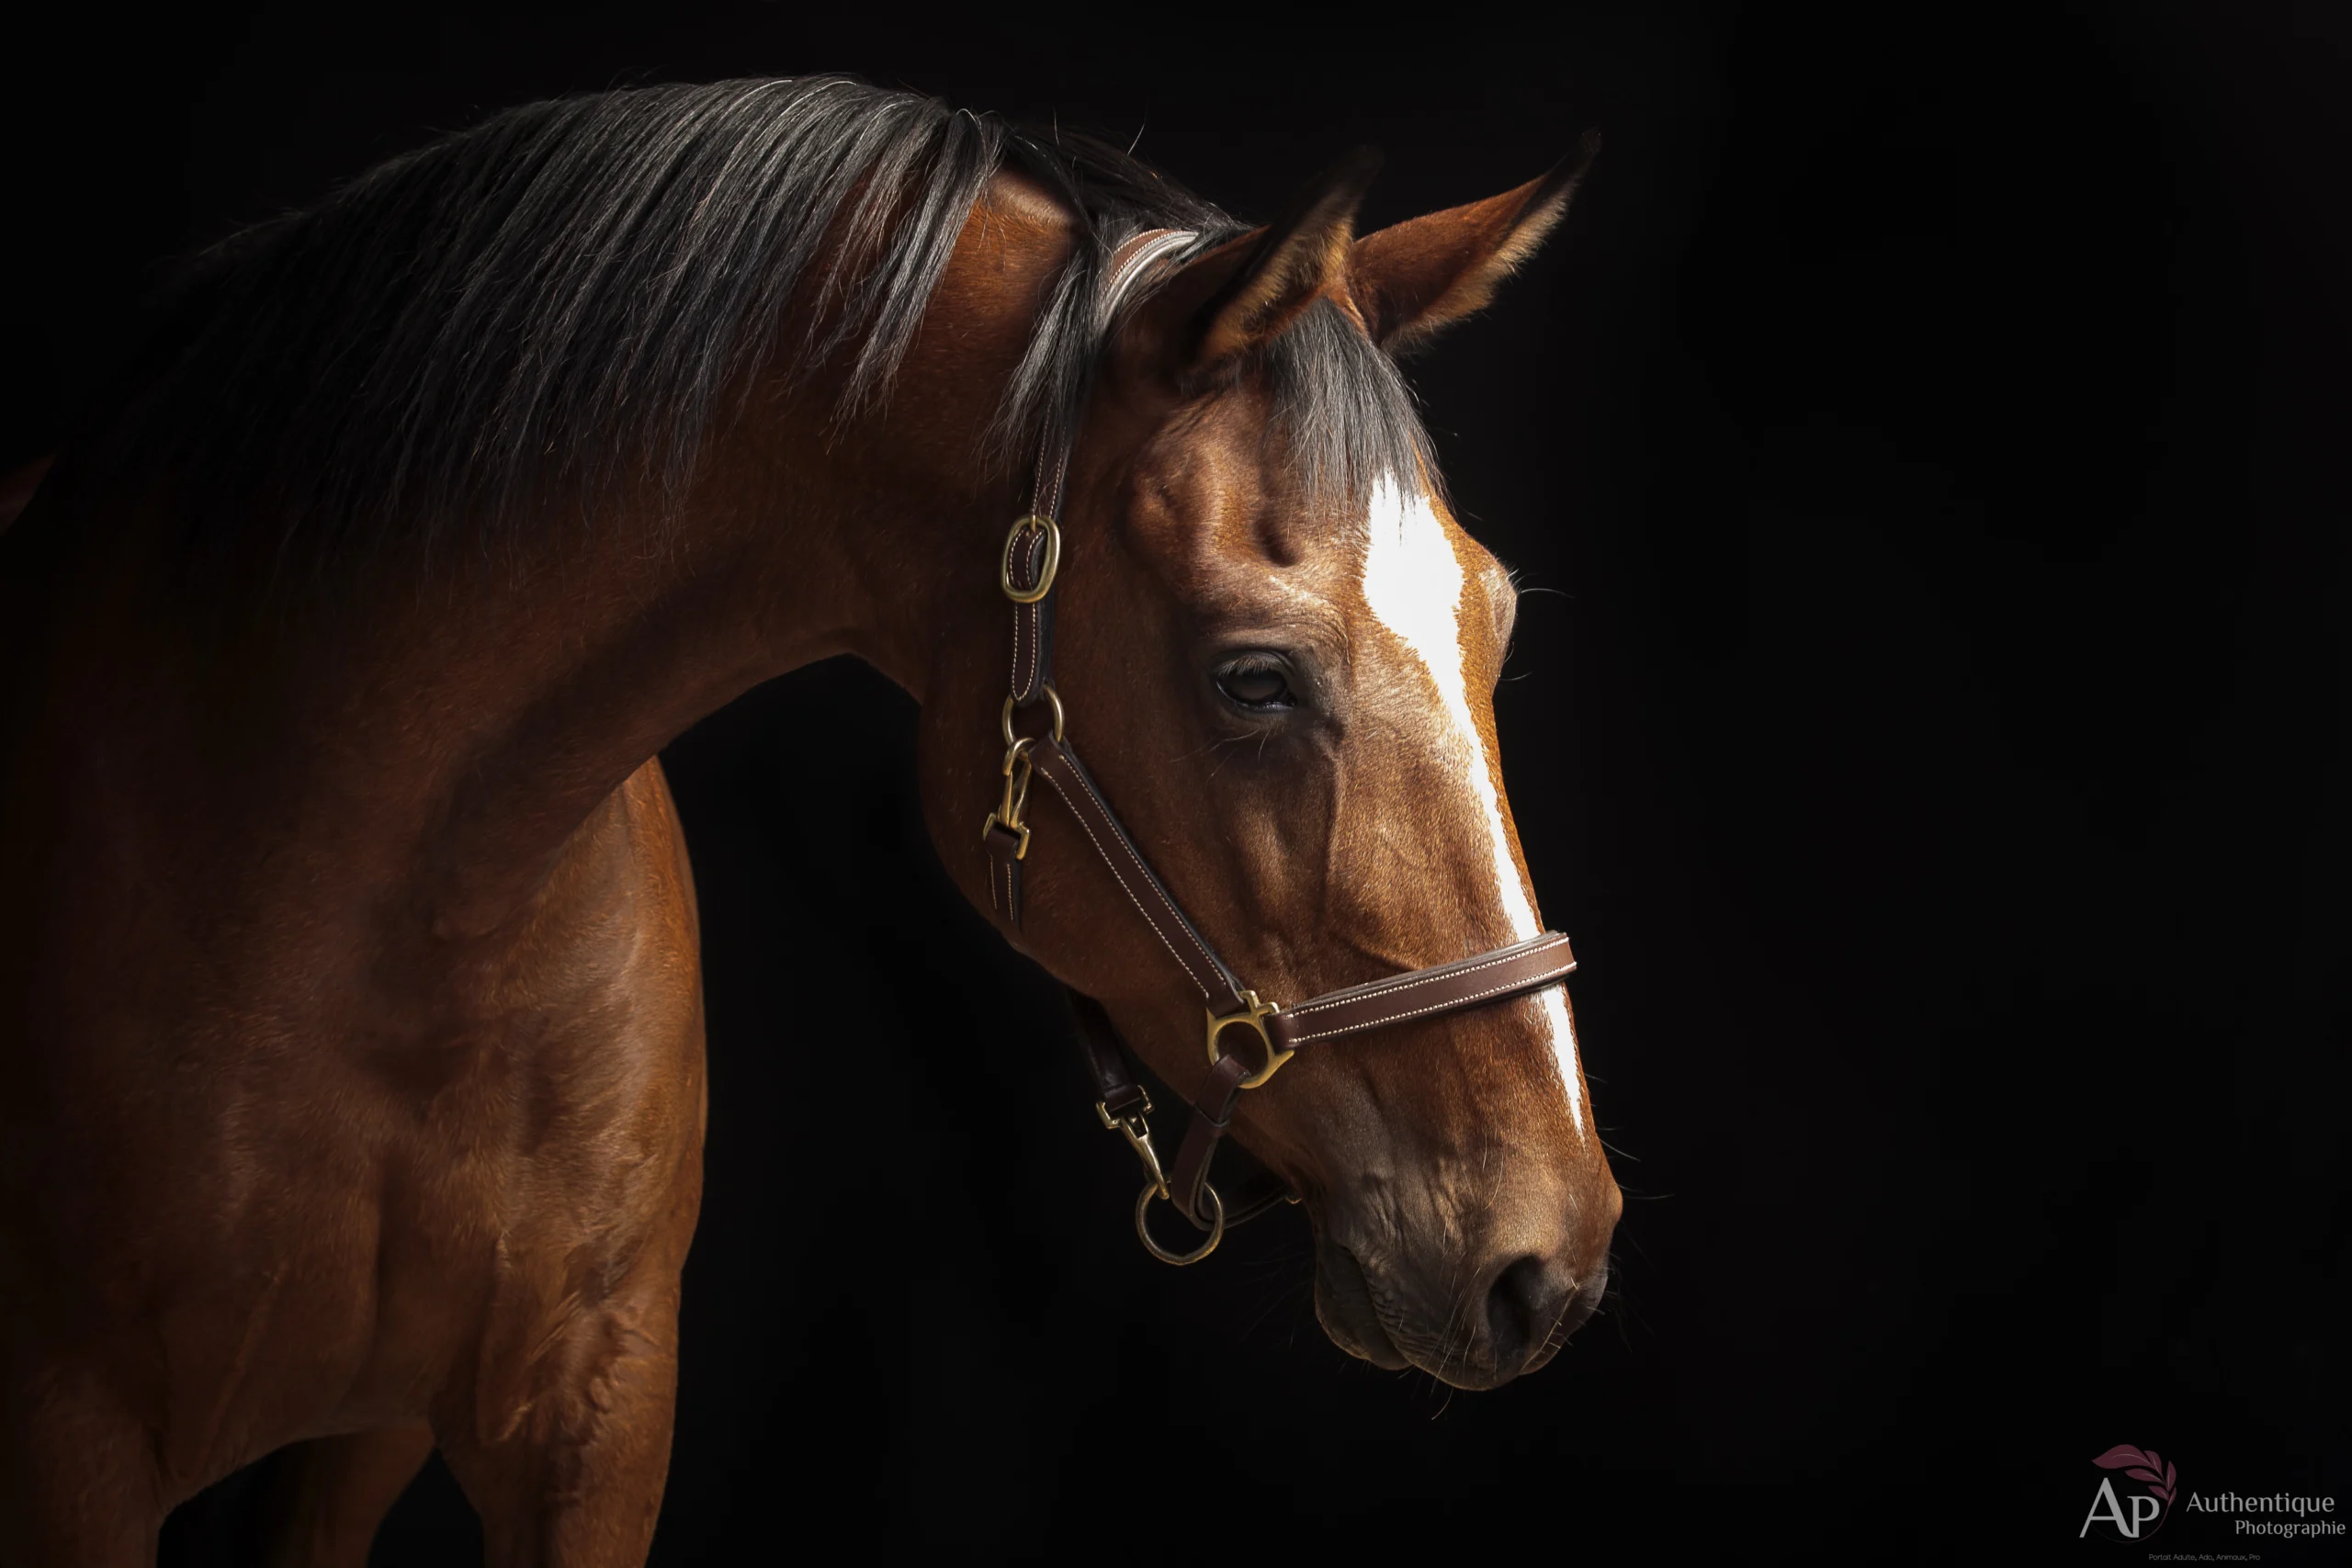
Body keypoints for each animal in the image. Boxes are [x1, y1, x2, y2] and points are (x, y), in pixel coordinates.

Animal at [0, 77, 1620, 1565]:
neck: (383, 886)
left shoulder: (589, 1411)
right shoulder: (71, 1444)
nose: (1552, 1254)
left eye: (1494, 620)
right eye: (1256, 676)